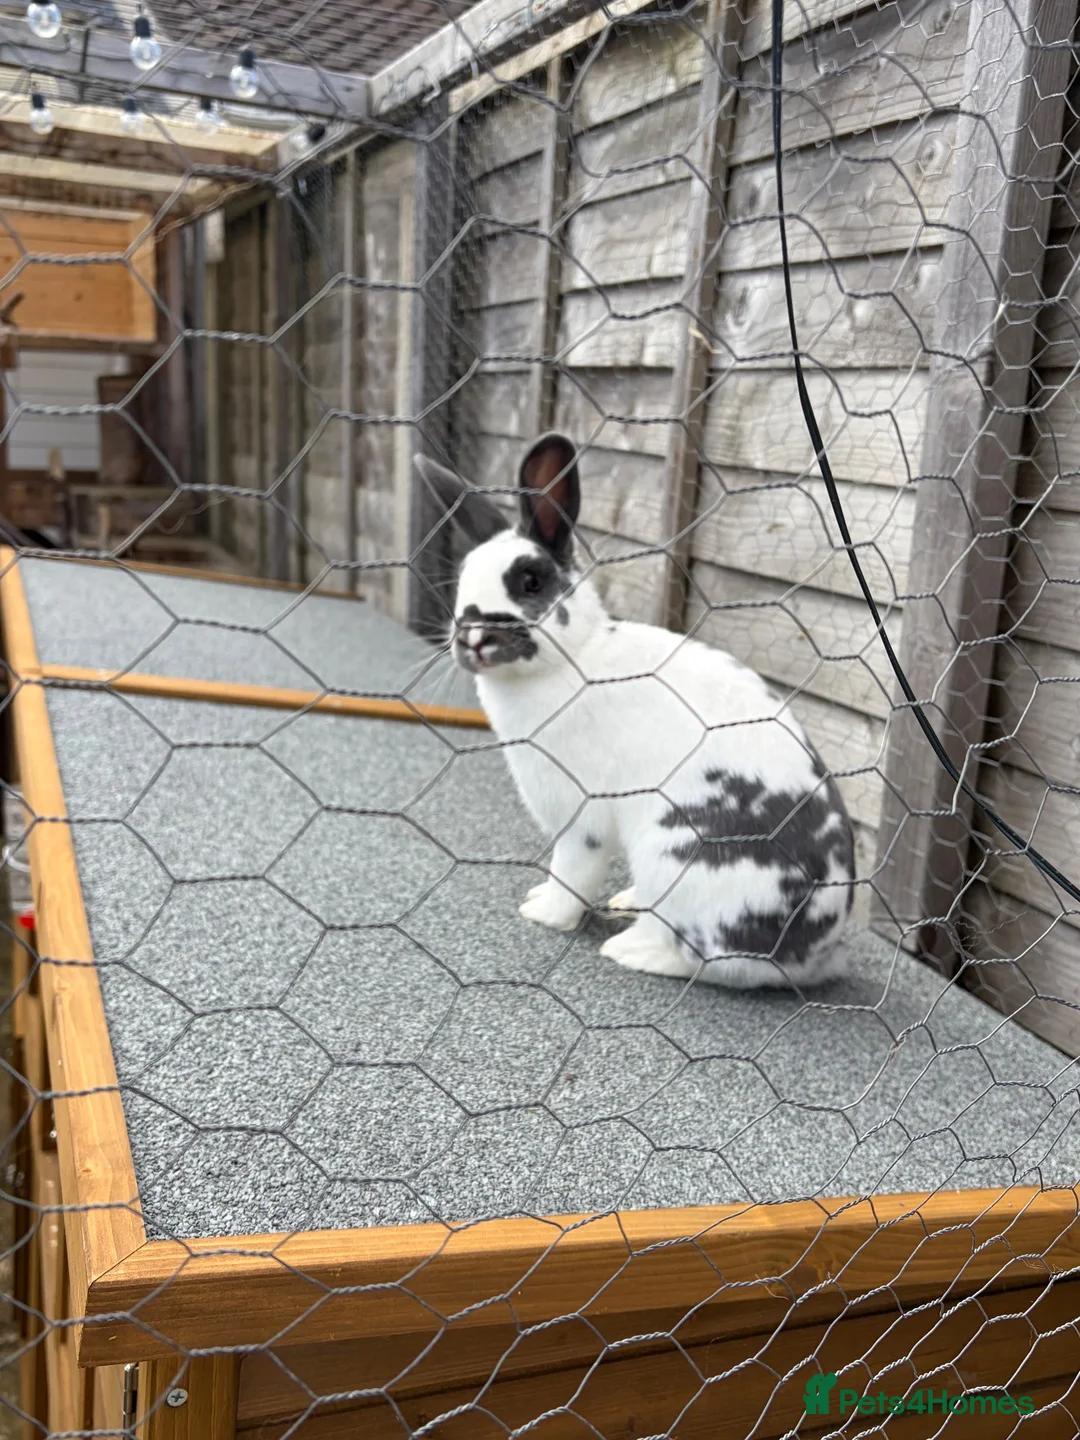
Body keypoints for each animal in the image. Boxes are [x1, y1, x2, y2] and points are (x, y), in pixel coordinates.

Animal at [414, 431, 855, 989]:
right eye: (461, 583)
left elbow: (573, 872)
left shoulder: (581, 819)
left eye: (531, 581)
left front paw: (543, 914)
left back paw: (631, 949)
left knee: (712, 961)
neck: (577, 657)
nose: (472, 637)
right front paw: (539, 898)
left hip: (675, 856)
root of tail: (815, 954)